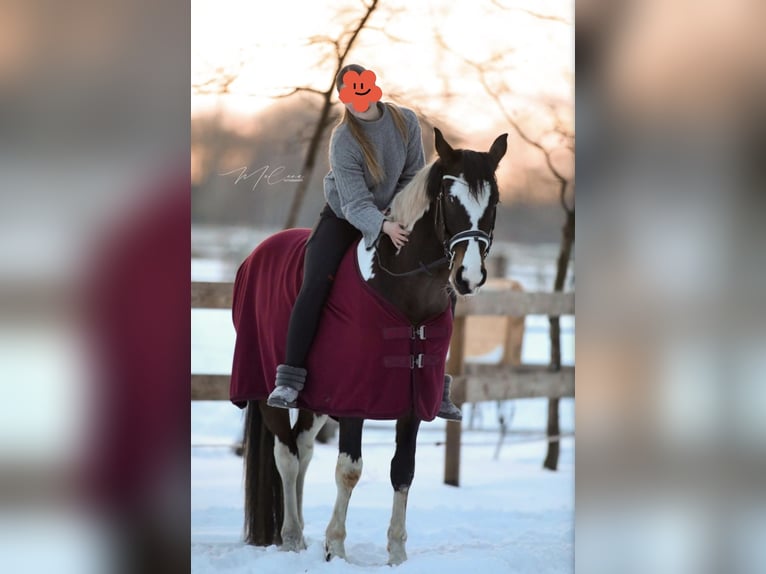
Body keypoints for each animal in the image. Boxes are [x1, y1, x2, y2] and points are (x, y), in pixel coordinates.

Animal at [231, 127, 507, 565]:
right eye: (450, 199)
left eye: (493, 202)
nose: (468, 276)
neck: (402, 291)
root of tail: (258, 253)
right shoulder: (354, 400)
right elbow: (349, 470)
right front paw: (336, 548)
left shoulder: (412, 402)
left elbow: (403, 470)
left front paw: (396, 554)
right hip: (262, 389)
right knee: (286, 456)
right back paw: (291, 536)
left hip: (316, 400)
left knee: (304, 448)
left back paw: (301, 534)